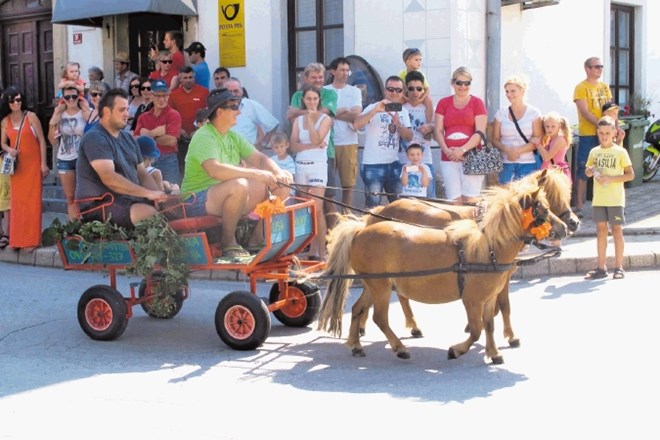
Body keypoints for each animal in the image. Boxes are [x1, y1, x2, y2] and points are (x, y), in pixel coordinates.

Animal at [316, 180, 568, 362]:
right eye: (545, 210)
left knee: (358, 309)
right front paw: (457, 350)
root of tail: (360, 231)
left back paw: (357, 346)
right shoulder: (472, 300)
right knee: (380, 317)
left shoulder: (488, 298)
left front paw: (494, 352)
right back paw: (400, 348)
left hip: (375, 284)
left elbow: (489, 323)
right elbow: (476, 329)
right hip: (380, 287)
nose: (566, 227)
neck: (487, 249)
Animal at [360, 167, 576, 346]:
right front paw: (508, 336)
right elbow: (503, 305)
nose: (571, 224)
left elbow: (501, 305)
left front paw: (501, 333)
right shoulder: (499, 275)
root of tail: (382, 210)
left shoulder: (502, 275)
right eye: (550, 199)